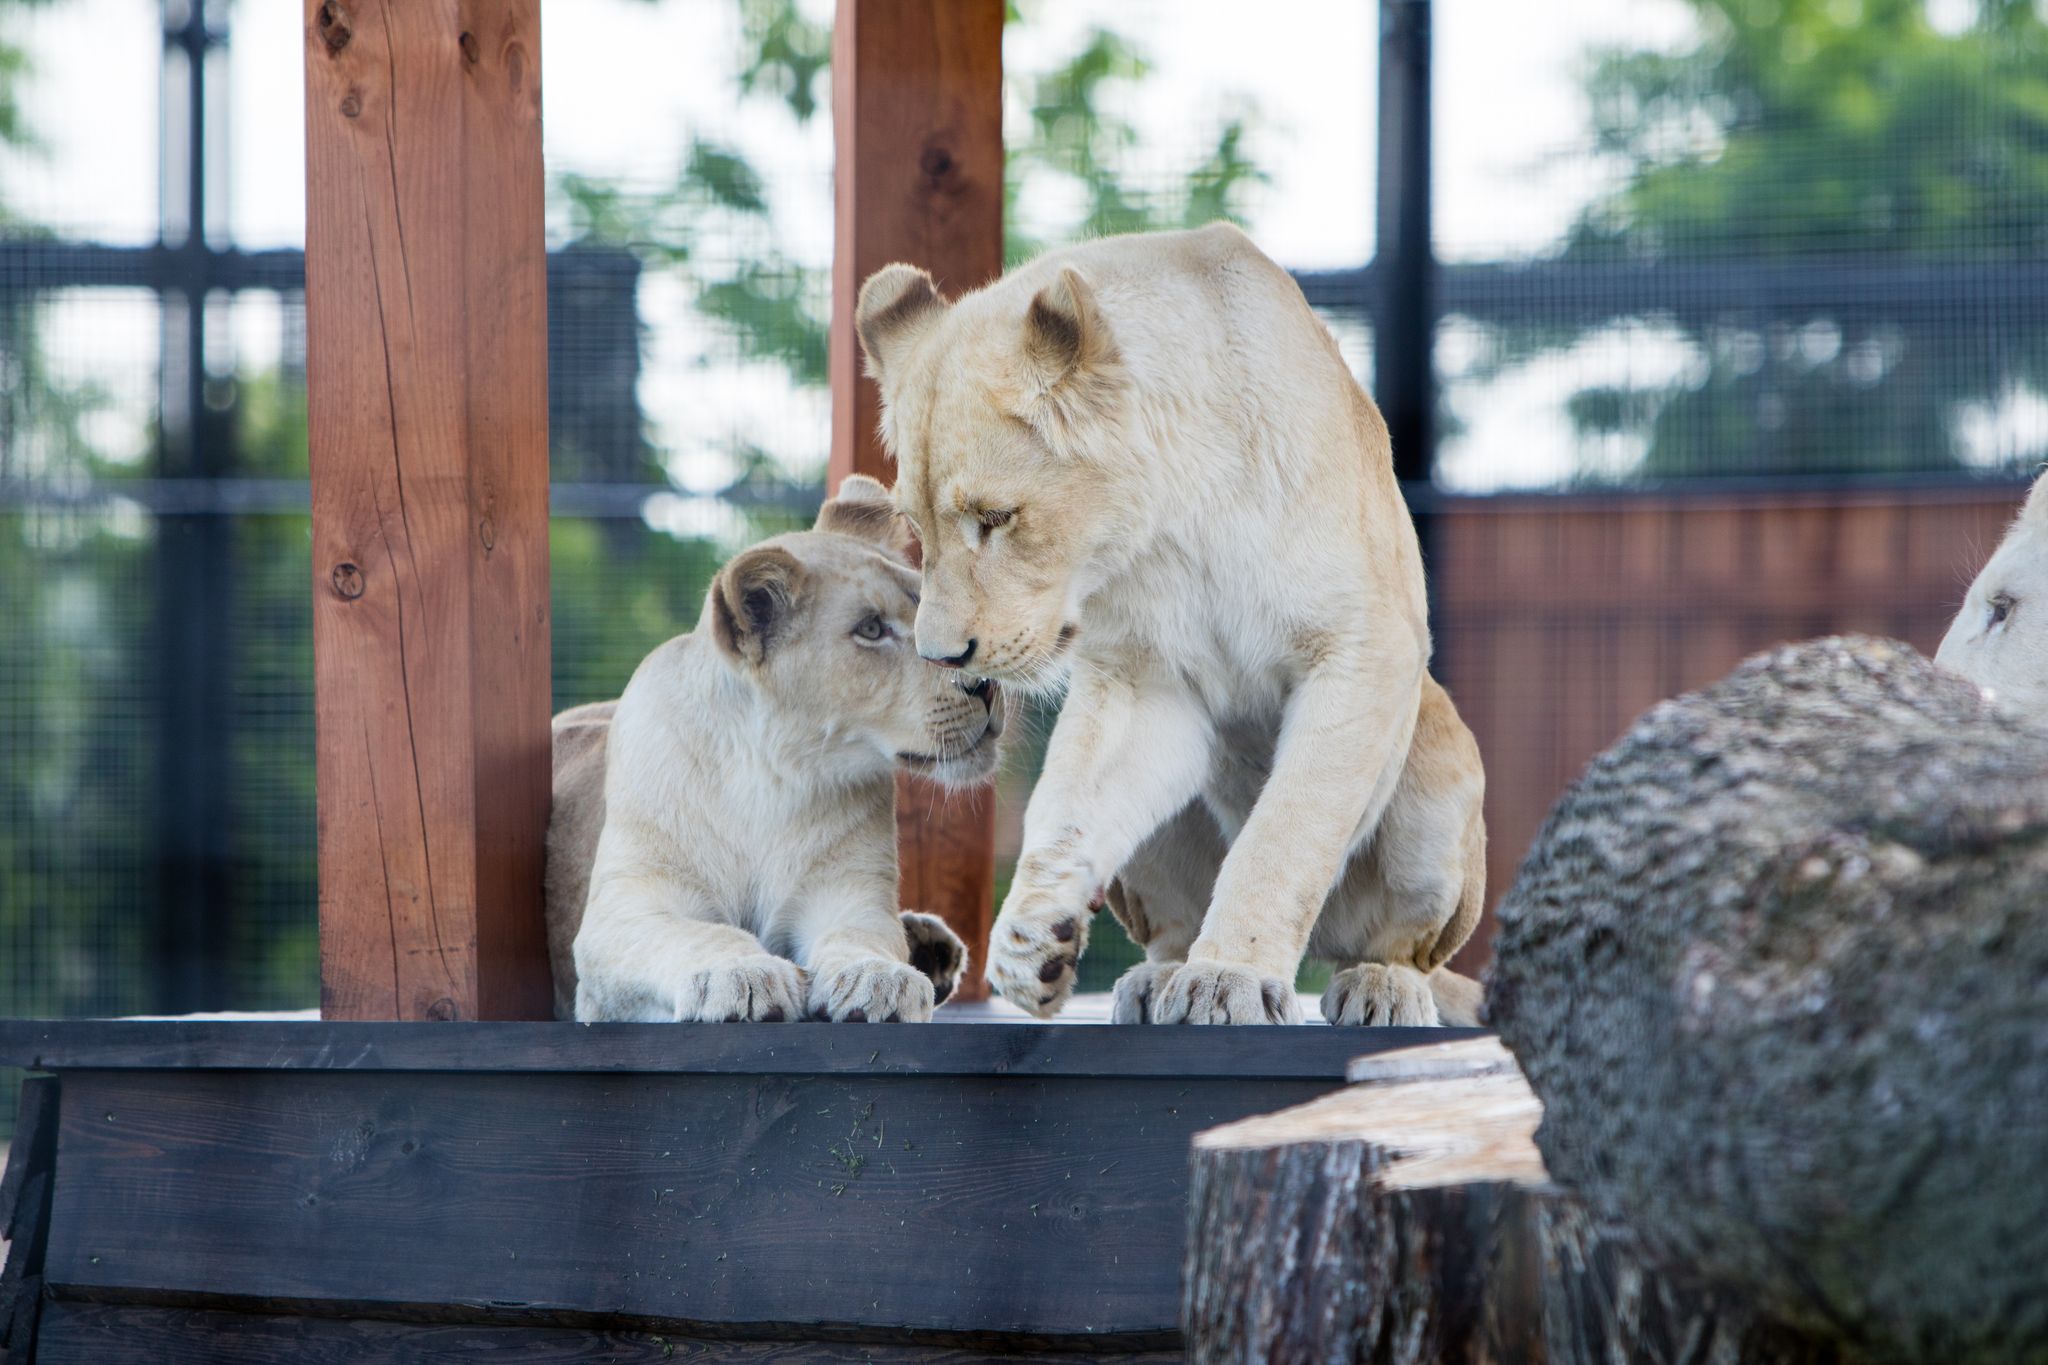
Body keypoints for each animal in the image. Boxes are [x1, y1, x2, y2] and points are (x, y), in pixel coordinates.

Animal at [545, 475, 1002, 1023]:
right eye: (871, 629)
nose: (987, 683)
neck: (771, 776)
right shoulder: (623, 914)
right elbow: (702, 934)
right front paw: (741, 976)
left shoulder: (850, 894)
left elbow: (862, 936)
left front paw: (880, 978)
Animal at [854, 223, 1486, 1026]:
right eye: (915, 526)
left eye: (996, 518)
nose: (943, 656)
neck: (1176, 517)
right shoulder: (1140, 681)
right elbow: (1067, 808)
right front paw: (1030, 942)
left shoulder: (1363, 648)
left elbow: (1285, 834)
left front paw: (1231, 976)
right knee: (1167, 922)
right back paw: (1151, 978)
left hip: (1435, 766)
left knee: (1399, 947)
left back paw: (1382, 985)